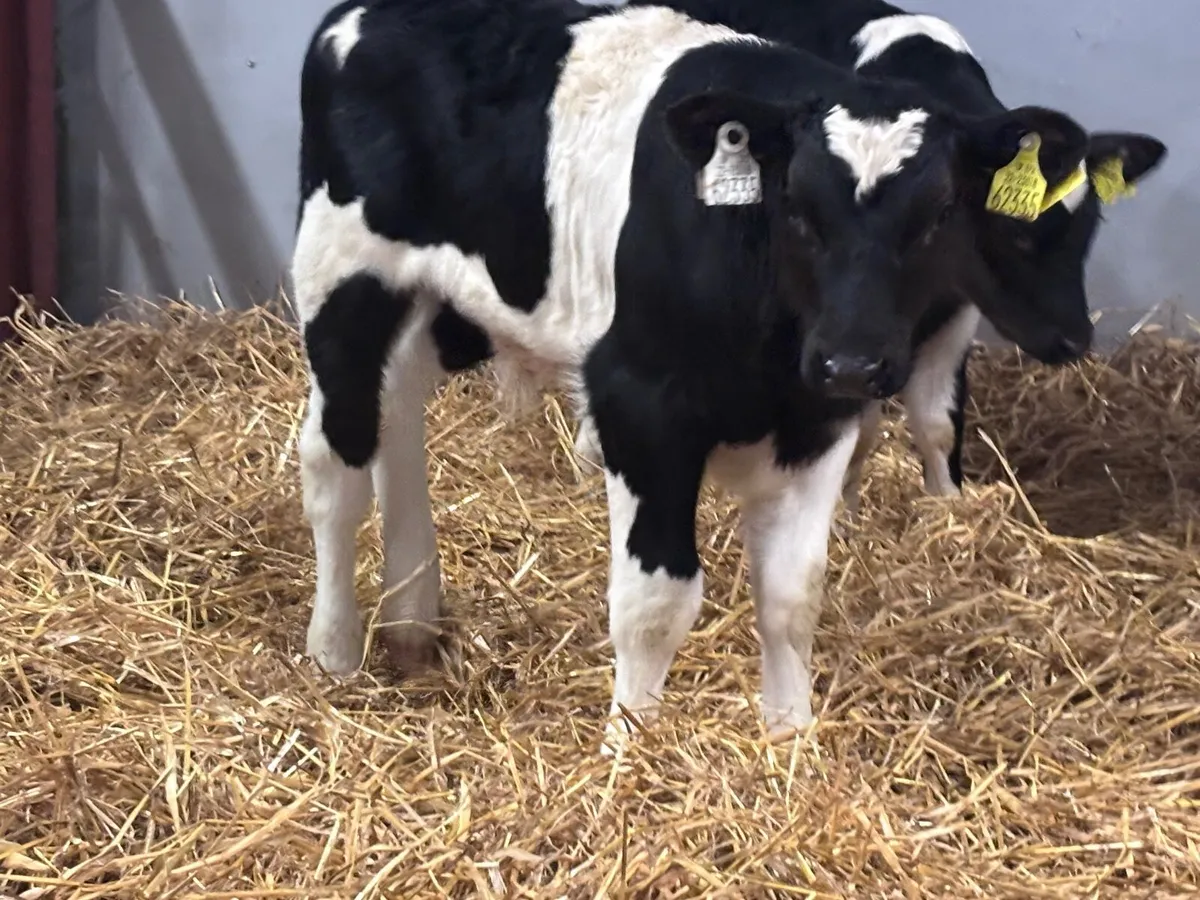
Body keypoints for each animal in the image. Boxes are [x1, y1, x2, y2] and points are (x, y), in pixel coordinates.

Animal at [292, 0, 1112, 752]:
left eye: (942, 210)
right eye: (796, 204)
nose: (852, 359)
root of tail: (356, 16)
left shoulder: (820, 420)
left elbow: (792, 594)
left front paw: (789, 746)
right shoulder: (639, 408)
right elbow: (655, 601)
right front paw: (628, 757)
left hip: (447, 305)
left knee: (397, 414)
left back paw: (410, 622)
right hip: (343, 280)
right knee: (335, 461)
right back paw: (335, 651)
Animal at [613, 0, 1168, 511]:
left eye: (1090, 226)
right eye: (1012, 231)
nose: (1075, 340)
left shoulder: (954, 309)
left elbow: (938, 422)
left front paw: (948, 507)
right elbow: (860, 426)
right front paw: (847, 509)